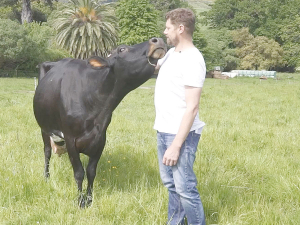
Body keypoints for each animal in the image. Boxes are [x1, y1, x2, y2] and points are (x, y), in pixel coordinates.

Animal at [34, 37, 168, 207]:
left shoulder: (100, 139)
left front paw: (90, 199)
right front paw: (80, 201)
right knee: (47, 152)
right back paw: (46, 177)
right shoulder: (70, 139)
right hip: (44, 128)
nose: (158, 40)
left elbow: (91, 172)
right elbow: (79, 173)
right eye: (122, 49)